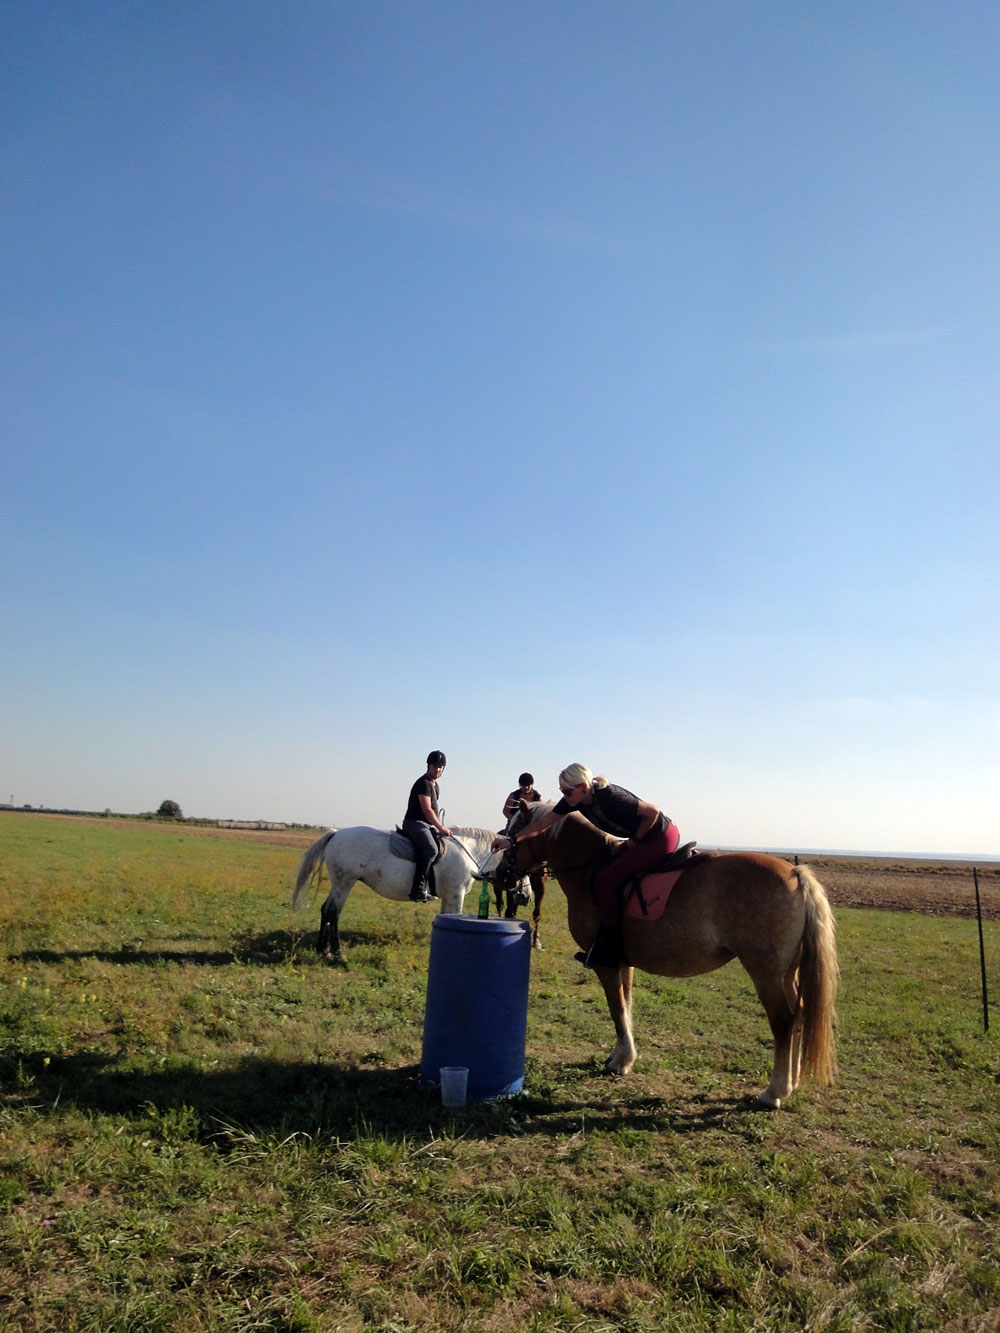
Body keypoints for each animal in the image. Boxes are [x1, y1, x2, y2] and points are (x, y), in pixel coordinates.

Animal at [289, 821, 501, 959]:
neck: (470, 850)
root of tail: (336, 833)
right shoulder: (456, 894)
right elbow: (453, 916)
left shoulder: (449, 896)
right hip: (344, 883)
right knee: (333, 912)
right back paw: (337, 952)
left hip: (339, 884)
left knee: (326, 909)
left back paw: (322, 949)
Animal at [498, 805, 837, 1109]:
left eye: (513, 833)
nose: (501, 875)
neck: (589, 868)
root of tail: (795, 873)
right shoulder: (623, 963)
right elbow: (626, 1006)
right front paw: (621, 1055)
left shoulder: (604, 963)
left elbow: (616, 1008)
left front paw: (622, 1062)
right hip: (787, 973)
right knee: (799, 1015)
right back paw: (791, 1083)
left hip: (765, 972)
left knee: (782, 1021)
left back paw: (774, 1091)